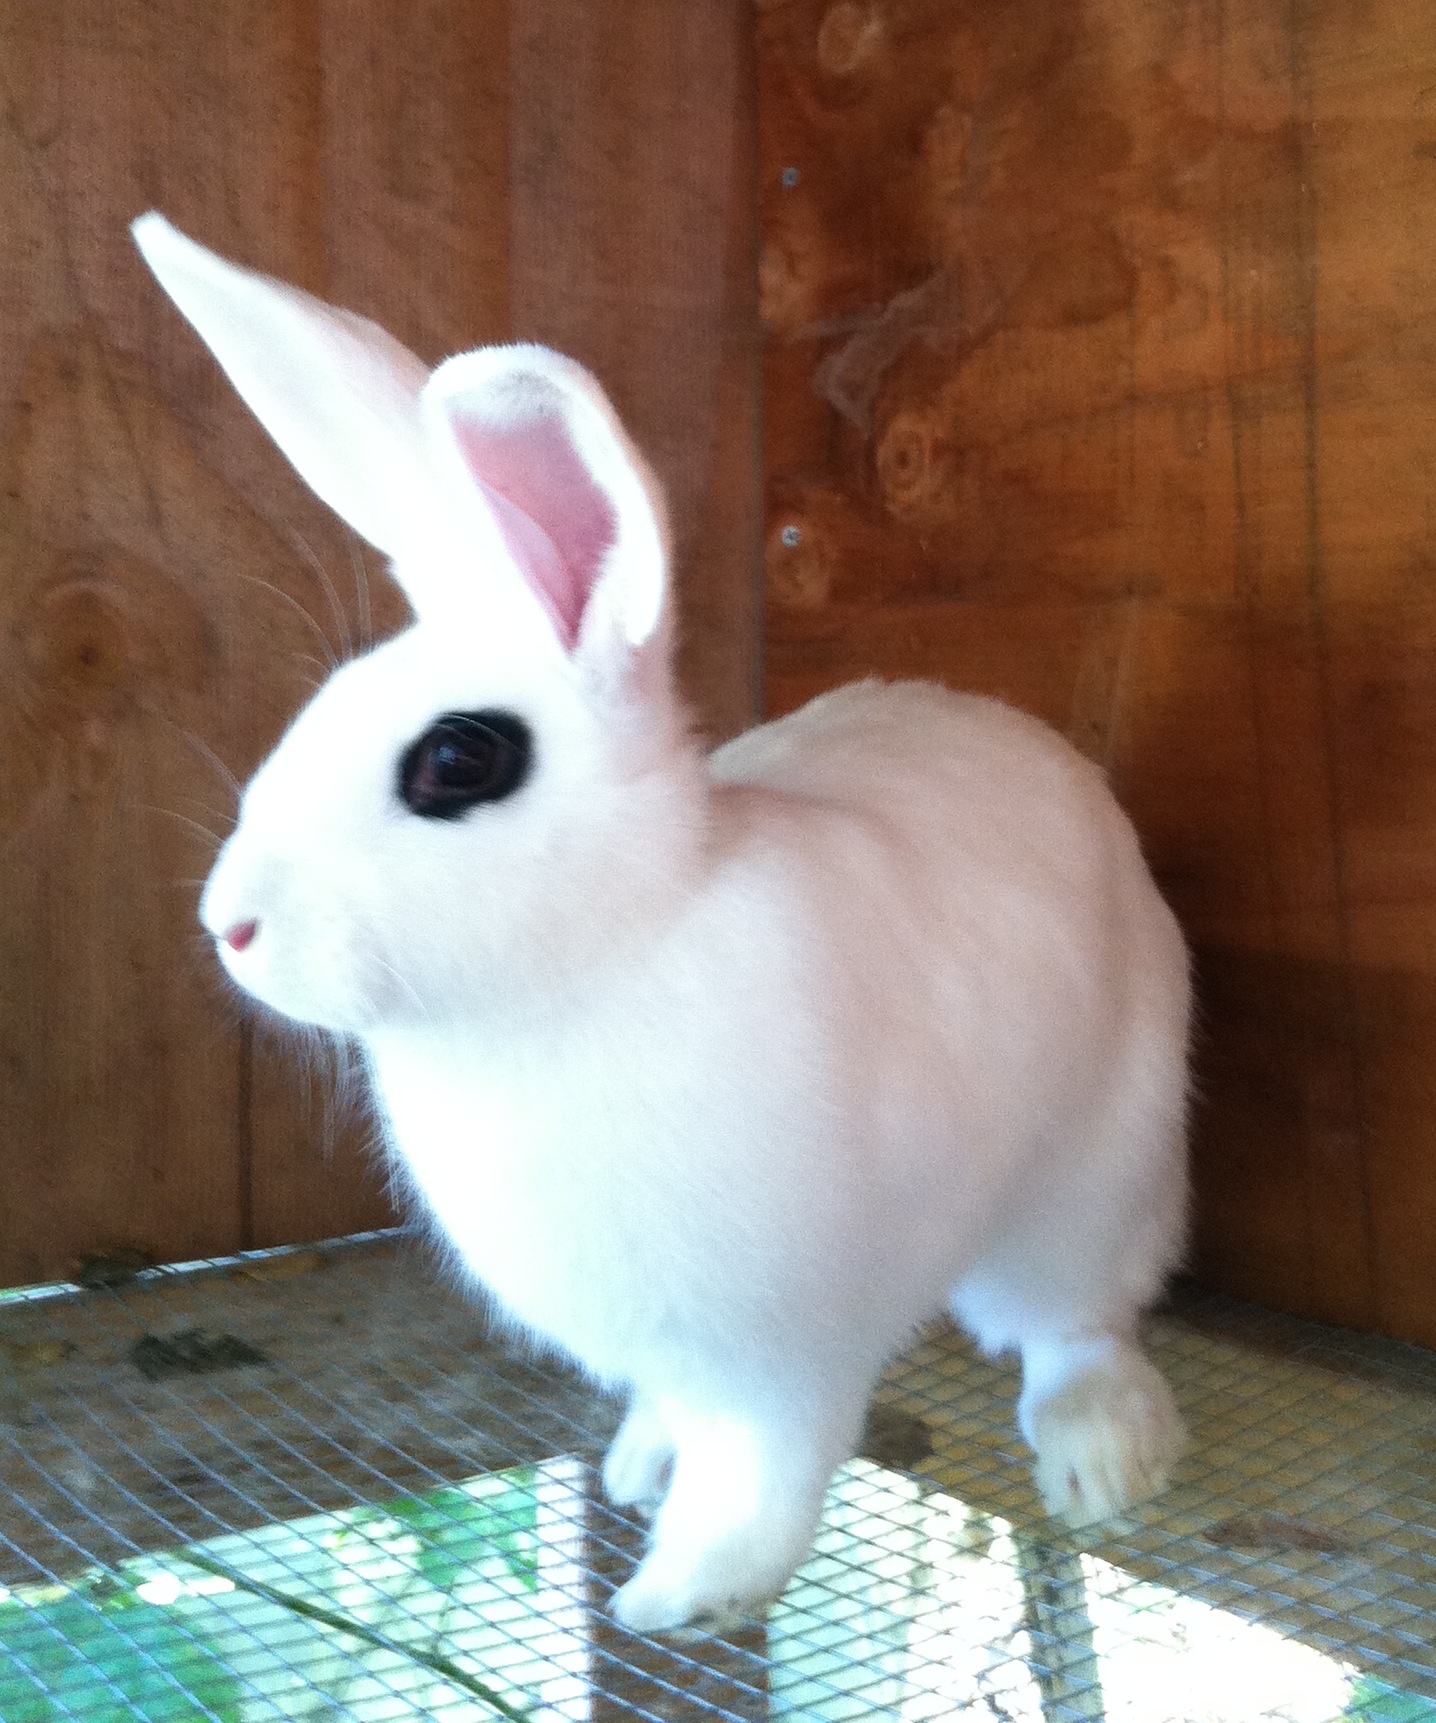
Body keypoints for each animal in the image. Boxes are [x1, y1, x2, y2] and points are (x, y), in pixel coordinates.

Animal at [131, 211, 1186, 1626]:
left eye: (456, 760)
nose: (230, 927)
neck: (613, 945)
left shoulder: (781, 1346)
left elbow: (768, 1470)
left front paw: (678, 1594)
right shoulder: (676, 1344)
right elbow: (678, 1415)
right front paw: (639, 1468)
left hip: (1094, 1172)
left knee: (1076, 1320)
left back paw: (1105, 1460)